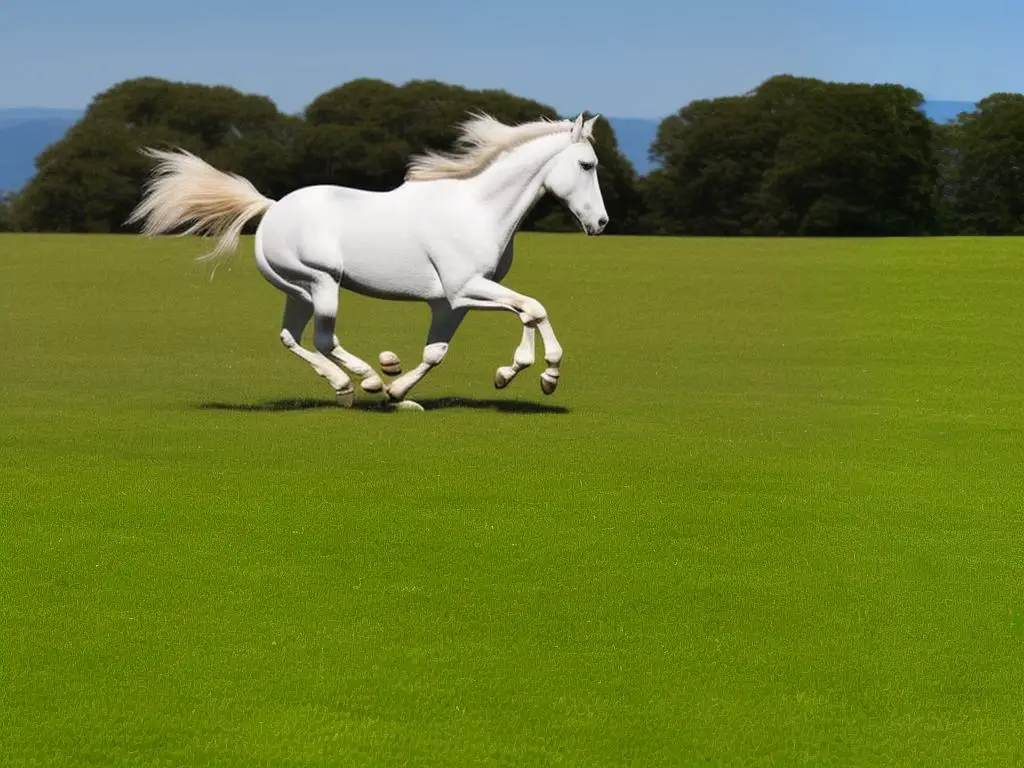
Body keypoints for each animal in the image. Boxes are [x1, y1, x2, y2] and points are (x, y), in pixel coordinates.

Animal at [128, 111, 606, 411]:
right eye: (587, 164)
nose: (601, 223)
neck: (478, 210)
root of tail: (271, 207)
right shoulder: (464, 287)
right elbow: (532, 308)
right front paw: (545, 374)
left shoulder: (451, 302)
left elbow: (440, 350)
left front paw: (406, 391)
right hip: (322, 283)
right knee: (322, 339)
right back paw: (368, 377)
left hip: (298, 291)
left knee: (290, 337)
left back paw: (346, 388)